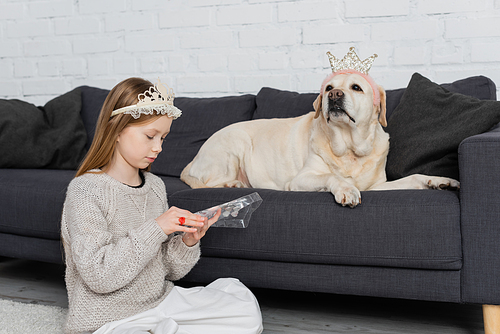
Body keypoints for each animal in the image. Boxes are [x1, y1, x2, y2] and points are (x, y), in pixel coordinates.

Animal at [182, 72, 458, 207]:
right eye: (328, 88)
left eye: (356, 87)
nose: (334, 95)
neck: (349, 149)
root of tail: (193, 160)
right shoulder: (300, 180)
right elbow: (330, 176)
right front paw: (345, 189)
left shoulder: (376, 187)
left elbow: (413, 179)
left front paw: (440, 181)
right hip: (235, 142)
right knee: (209, 182)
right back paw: (233, 184)